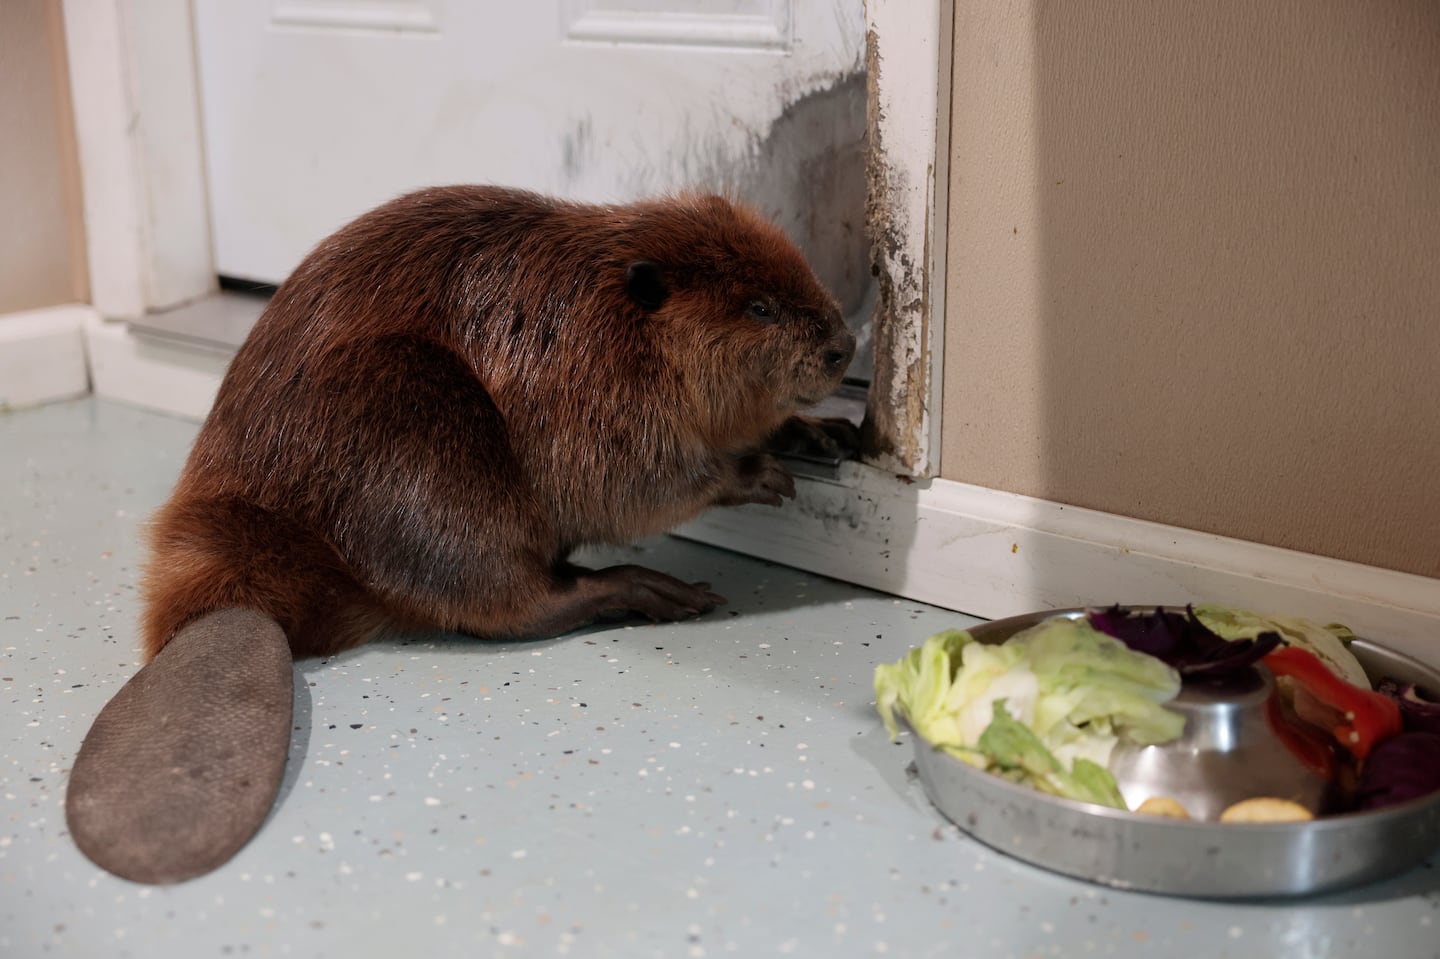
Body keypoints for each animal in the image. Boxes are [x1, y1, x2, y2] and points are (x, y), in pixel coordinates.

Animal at [61, 184, 852, 881]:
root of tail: (226, 606)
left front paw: (819, 432)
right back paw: (651, 590)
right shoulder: (594, 390)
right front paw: (756, 471)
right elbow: (640, 481)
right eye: (758, 306)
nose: (844, 347)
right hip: (420, 435)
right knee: (512, 604)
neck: (611, 311)